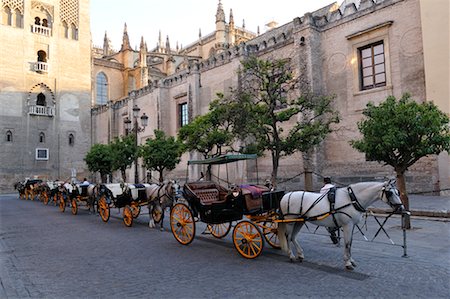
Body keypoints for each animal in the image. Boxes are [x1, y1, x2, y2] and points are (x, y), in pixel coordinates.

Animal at [276, 180, 406, 272]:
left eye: (398, 192)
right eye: (389, 193)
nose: (401, 208)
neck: (351, 199)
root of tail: (286, 195)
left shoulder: (352, 225)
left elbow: (350, 243)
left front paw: (351, 260)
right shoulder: (347, 225)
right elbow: (347, 243)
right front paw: (348, 263)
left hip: (299, 221)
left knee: (293, 237)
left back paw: (300, 254)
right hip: (290, 221)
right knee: (288, 237)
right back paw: (291, 255)